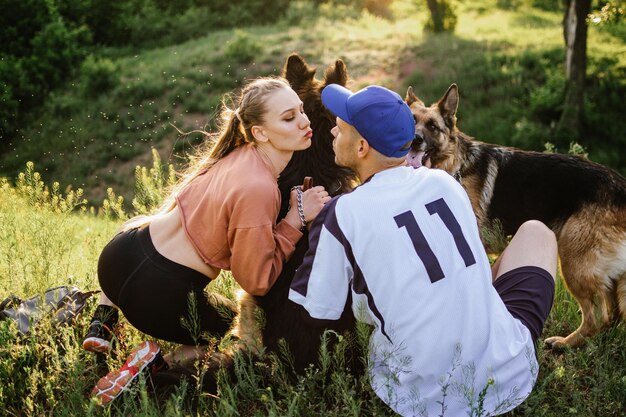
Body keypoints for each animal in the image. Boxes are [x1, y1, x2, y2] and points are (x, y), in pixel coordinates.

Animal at [402, 83, 624, 348]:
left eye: (433, 127)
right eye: (411, 120)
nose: (415, 140)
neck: (455, 165)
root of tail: (621, 187)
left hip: (573, 262)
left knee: (597, 316)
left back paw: (565, 343)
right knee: (611, 314)